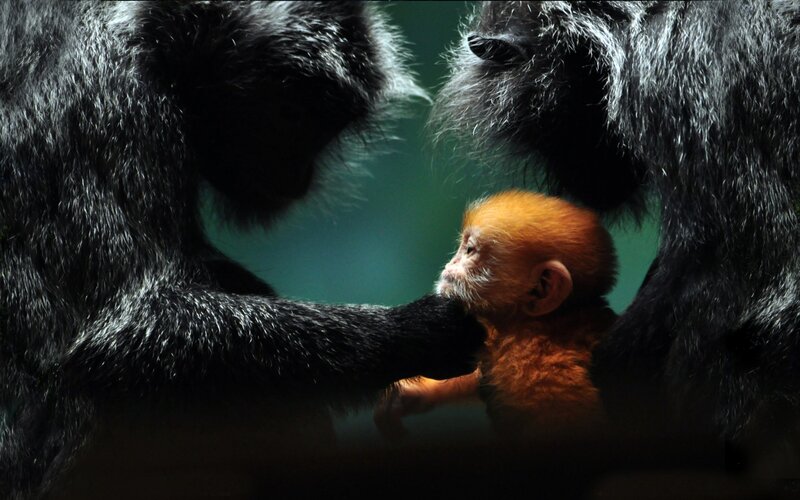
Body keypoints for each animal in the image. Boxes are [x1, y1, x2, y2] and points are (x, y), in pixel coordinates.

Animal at [0, 2, 486, 498]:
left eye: (326, 125)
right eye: (292, 113)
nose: (299, 176)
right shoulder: (104, 98)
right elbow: (121, 337)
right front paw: (413, 330)